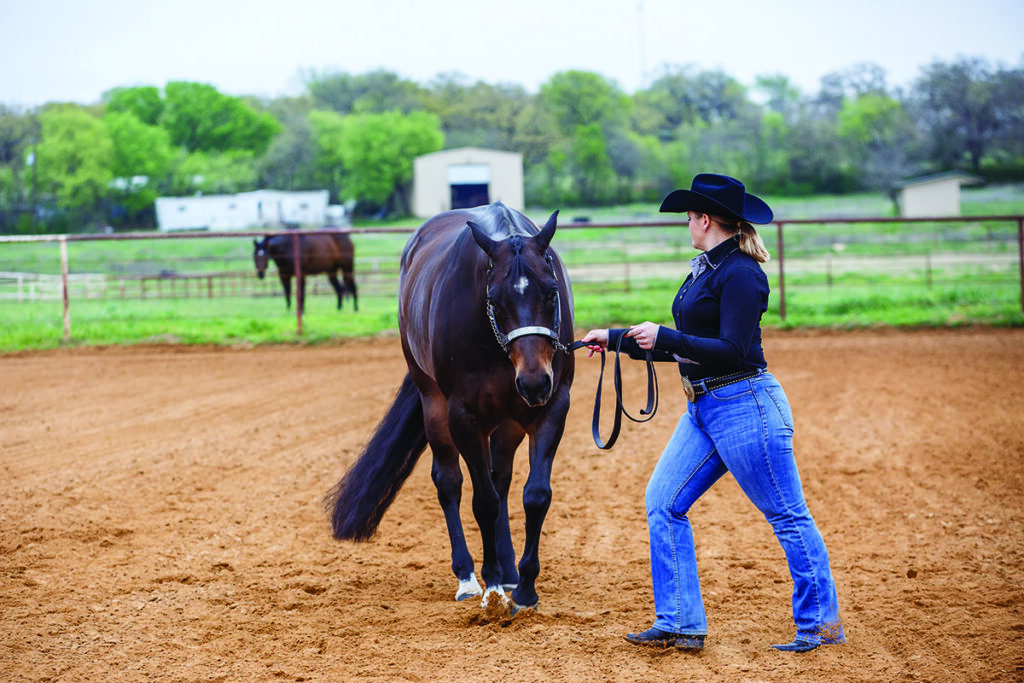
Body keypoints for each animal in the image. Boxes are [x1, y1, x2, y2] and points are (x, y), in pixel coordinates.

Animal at [325, 200, 577, 610]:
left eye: (552, 291)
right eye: (495, 300)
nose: (534, 381)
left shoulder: (552, 407)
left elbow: (535, 496)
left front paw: (524, 586)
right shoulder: (464, 416)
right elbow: (483, 501)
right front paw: (491, 584)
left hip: (509, 421)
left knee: (500, 479)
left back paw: (508, 568)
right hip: (433, 404)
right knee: (450, 482)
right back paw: (468, 576)